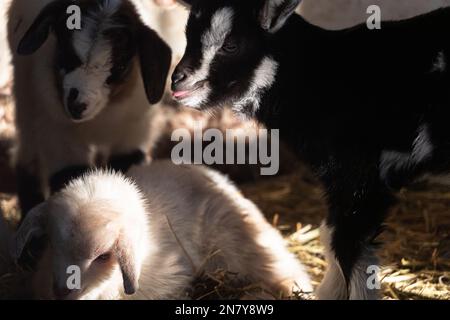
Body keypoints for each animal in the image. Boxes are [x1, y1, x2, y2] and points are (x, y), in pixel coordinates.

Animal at [7, 0, 172, 216]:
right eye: (66, 53)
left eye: (120, 66)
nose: (77, 105)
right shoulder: (57, 132)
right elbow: (72, 178)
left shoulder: (134, 131)